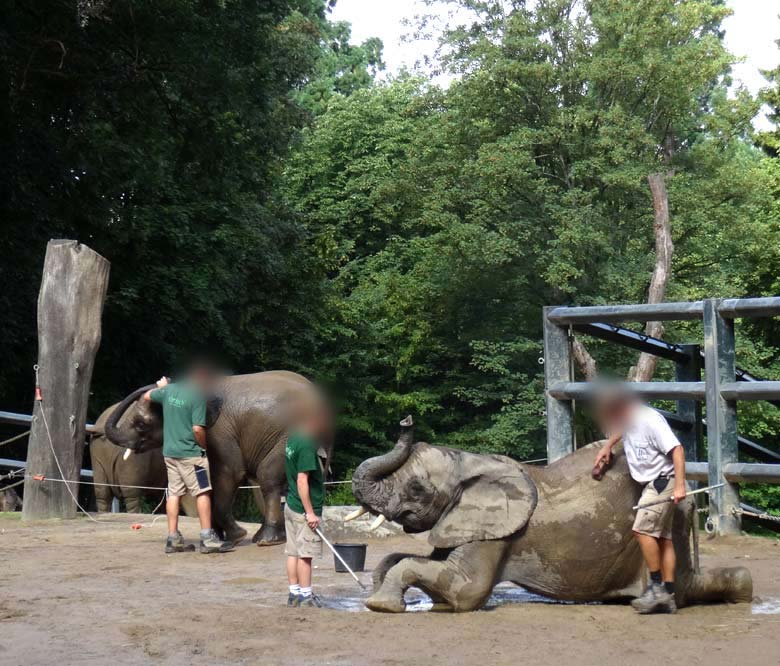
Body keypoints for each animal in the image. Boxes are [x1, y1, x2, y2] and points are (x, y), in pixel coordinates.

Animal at [101, 370, 332, 544]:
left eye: (141, 424)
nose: (162, 380)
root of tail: (322, 401)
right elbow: (209, 477)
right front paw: (219, 536)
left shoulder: (220, 431)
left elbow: (229, 473)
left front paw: (236, 536)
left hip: (292, 434)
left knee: (268, 478)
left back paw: (265, 540)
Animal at [352, 418, 748, 608]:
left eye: (416, 488)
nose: (406, 421)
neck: (467, 461)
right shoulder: (462, 522)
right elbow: (406, 559)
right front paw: (380, 590)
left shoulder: (499, 533)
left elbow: (466, 589)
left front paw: (381, 606)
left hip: (669, 518)